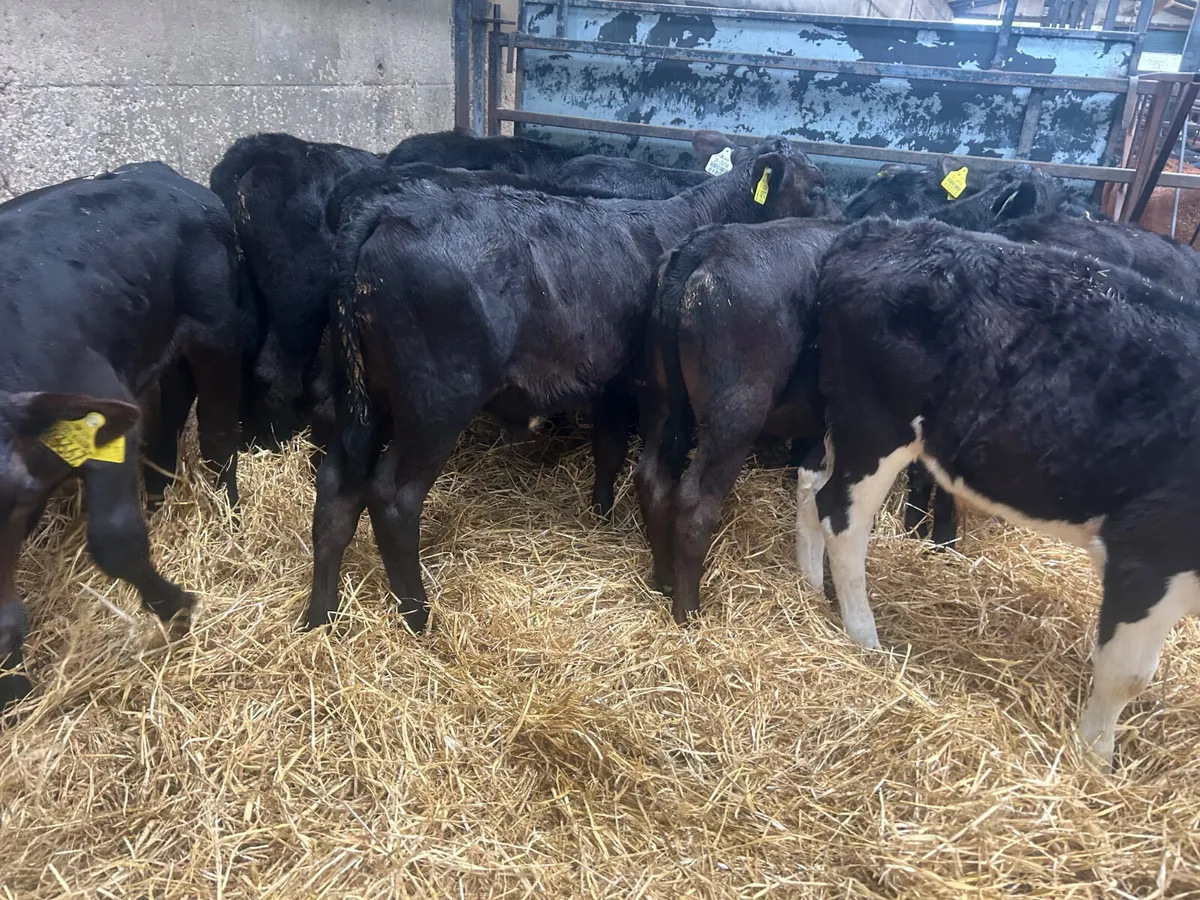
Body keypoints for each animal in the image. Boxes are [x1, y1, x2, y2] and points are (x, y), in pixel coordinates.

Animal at [0, 161, 243, 705]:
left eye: (15, 494)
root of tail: (156, 171)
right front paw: (14, 685)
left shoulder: (102, 401)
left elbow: (114, 538)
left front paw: (177, 605)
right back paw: (157, 491)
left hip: (218, 331)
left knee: (218, 428)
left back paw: (229, 513)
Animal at [636, 217, 844, 623]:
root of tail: (702, 246)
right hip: (735, 413)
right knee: (694, 503)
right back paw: (688, 613)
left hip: (662, 395)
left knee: (652, 478)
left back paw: (664, 580)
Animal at [800, 216, 1200, 766]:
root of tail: (881, 230)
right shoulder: (1148, 550)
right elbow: (1128, 674)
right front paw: (1093, 760)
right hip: (876, 425)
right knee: (841, 517)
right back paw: (864, 636)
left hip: (838, 417)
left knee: (809, 482)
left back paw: (808, 585)